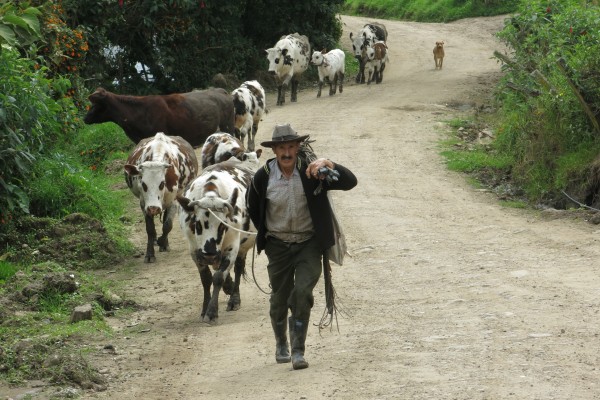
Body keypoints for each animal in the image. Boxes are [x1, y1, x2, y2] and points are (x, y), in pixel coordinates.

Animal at [124, 133, 199, 264]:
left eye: (162, 183)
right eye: (143, 184)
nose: (154, 208)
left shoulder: (173, 201)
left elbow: (167, 225)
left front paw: (162, 242)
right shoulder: (144, 204)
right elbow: (150, 229)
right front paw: (150, 253)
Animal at [178, 152, 262, 324]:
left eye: (223, 226)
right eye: (197, 224)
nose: (209, 255)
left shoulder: (232, 247)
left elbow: (218, 277)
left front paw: (211, 312)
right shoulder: (195, 251)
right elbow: (206, 279)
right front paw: (205, 308)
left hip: (242, 247)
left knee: (238, 267)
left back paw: (234, 298)